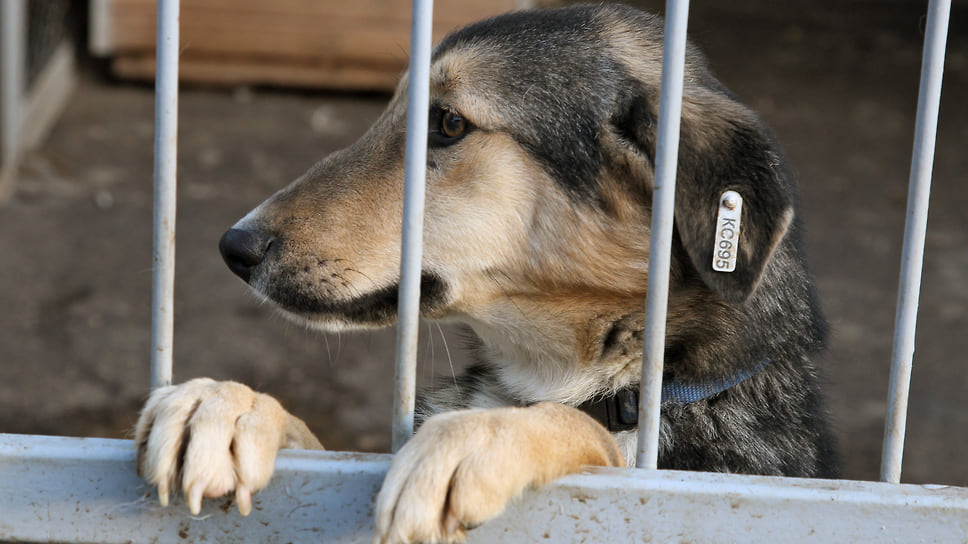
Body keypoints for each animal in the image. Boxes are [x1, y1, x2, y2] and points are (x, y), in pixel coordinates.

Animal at [134, 5, 840, 544]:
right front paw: (225, 407)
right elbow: (318, 452)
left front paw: (477, 436)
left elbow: (581, 429)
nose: (235, 246)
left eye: (448, 123)